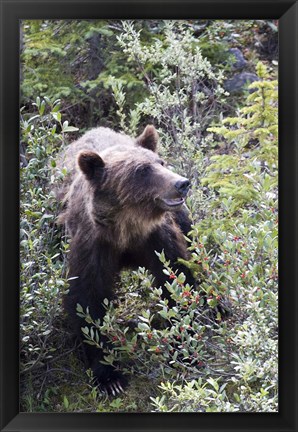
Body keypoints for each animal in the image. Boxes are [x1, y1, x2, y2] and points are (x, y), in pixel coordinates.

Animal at [56, 123, 194, 394]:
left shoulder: (155, 237)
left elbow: (175, 275)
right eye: (142, 170)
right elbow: (87, 301)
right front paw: (109, 377)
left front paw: (186, 340)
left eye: (160, 162)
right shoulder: (92, 245)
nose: (181, 183)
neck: (126, 229)